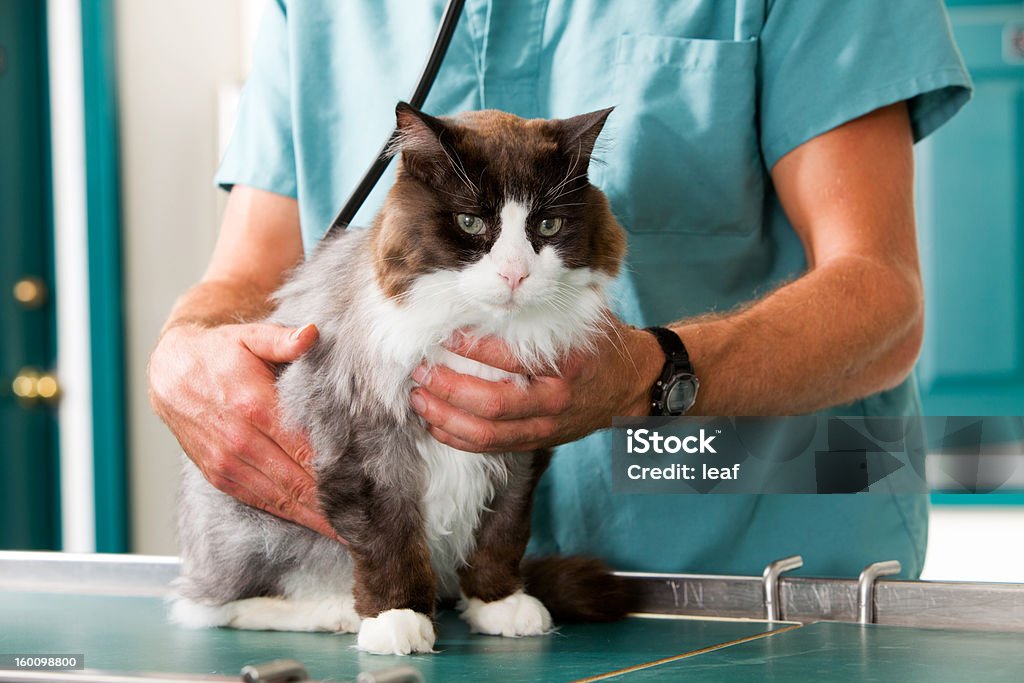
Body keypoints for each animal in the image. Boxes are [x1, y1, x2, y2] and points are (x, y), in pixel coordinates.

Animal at [168, 102, 630, 655]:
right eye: (471, 222)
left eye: (548, 224)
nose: (515, 274)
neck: (478, 329)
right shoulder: (367, 450)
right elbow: (390, 543)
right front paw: (397, 619)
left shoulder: (519, 449)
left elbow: (501, 533)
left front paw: (498, 602)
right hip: (254, 529)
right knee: (212, 607)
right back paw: (335, 612)